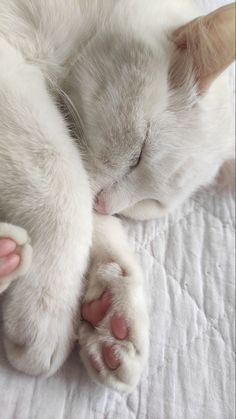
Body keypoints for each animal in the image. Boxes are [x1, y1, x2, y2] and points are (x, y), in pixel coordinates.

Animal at [0, 0, 234, 394]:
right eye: (139, 153)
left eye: (151, 203)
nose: (106, 204)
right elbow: (62, 175)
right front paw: (45, 309)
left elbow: (91, 214)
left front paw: (114, 302)